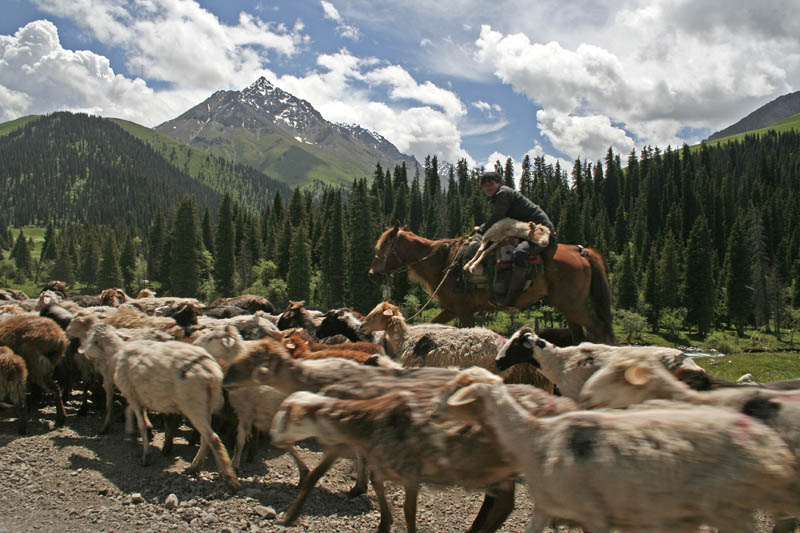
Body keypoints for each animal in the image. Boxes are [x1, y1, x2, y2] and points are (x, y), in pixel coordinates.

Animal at [111, 340, 238, 490]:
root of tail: (211, 372)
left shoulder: (132, 393)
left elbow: (140, 424)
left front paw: (146, 455)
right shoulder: (137, 397)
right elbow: (129, 411)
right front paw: (132, 434)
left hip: (193, 405)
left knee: (213, 439)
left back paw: (230, 480)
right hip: (207, 405)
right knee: (206, 438)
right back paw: (195, 467)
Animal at [370, 221, 620, 342]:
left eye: (381, 248)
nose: (372, 274)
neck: (444, 262)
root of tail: (581, 251)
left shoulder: (464, 311)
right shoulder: (450, 310)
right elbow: (431, 325)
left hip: (572, 305)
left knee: (598, 327)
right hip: (567, 307)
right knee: (579, 333)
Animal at [440, 366, 800, 532]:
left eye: (459, 387)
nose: (434, 408)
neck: (533, 438)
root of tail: (763, 445)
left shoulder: (595, 513)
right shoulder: (547, 507)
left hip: (726, 506)